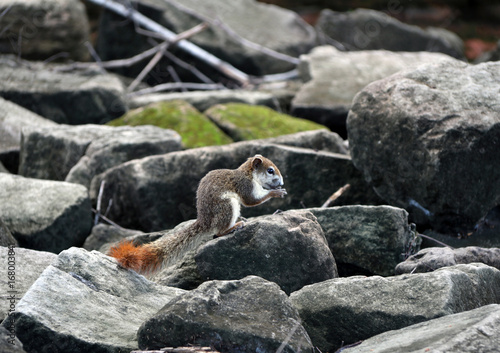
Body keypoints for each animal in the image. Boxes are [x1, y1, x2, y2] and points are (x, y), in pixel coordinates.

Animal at [108, 154, 286, 272]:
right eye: (270, 171)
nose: (282, 182)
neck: (248, 174)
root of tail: (204, 221)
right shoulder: (245, 186)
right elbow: (251, 201)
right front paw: (275, 193)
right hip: (227, 206)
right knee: (218, 233)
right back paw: (234, 226)